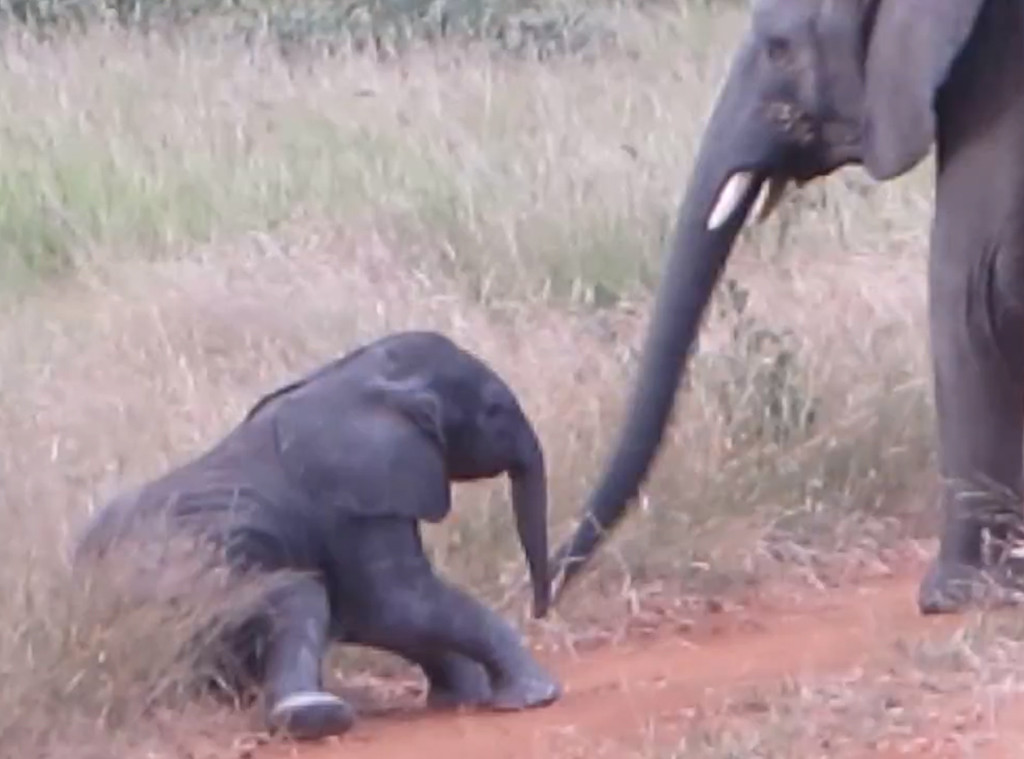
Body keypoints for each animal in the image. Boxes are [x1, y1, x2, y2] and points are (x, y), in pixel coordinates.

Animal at [72, 330, 561, 742]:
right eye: (495, 410)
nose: (540, 611)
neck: (363, 375)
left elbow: (375, 613)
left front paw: (462, 697)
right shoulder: (358, 490)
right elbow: (396, 605)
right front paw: (535, 698)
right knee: (298, 595)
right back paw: (314, 716)